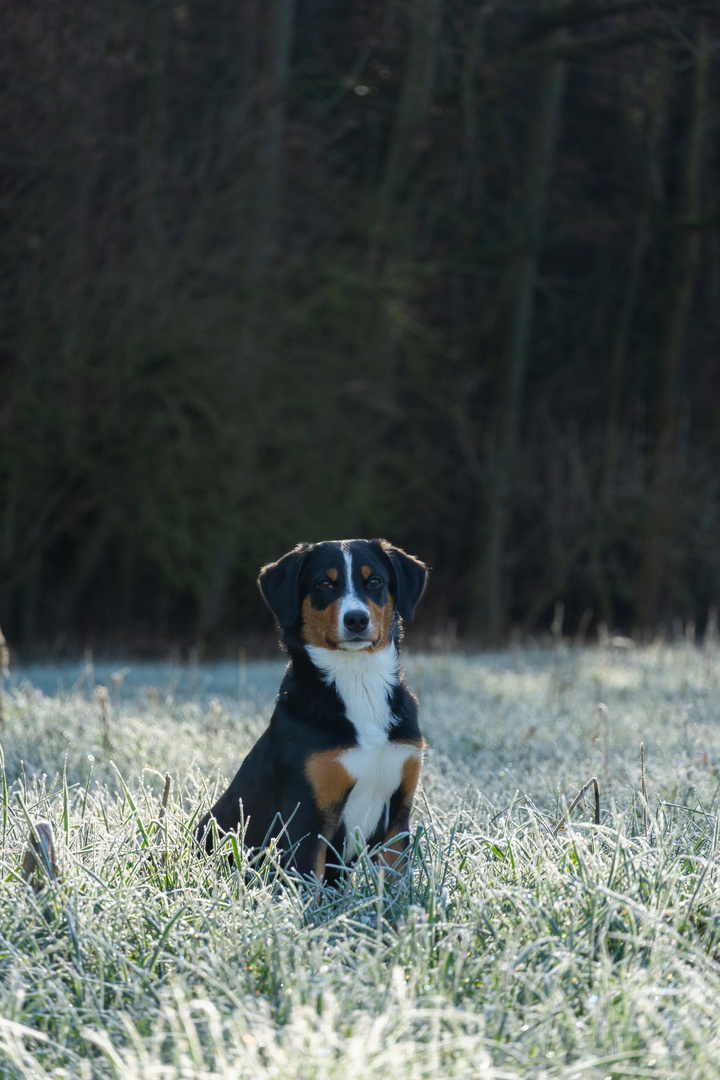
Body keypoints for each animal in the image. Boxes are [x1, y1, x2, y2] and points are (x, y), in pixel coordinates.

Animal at [195, 540, 427, 885]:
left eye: (374, 581)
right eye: (324, 584)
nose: (356, 619)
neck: (358, 681)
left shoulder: (397, 817)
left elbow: (395, 885)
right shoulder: (306, 818)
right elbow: (308, 888)